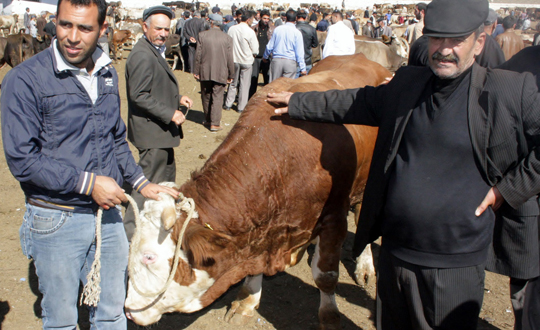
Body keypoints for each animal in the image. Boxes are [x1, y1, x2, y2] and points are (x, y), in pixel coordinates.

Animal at [124, 52, 390, 328]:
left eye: (149, 257)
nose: (129, 311)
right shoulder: (262, 233)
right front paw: (247, 299)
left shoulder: (334, 218)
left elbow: (326, 276)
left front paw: (329, 317)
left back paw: (365, 267)